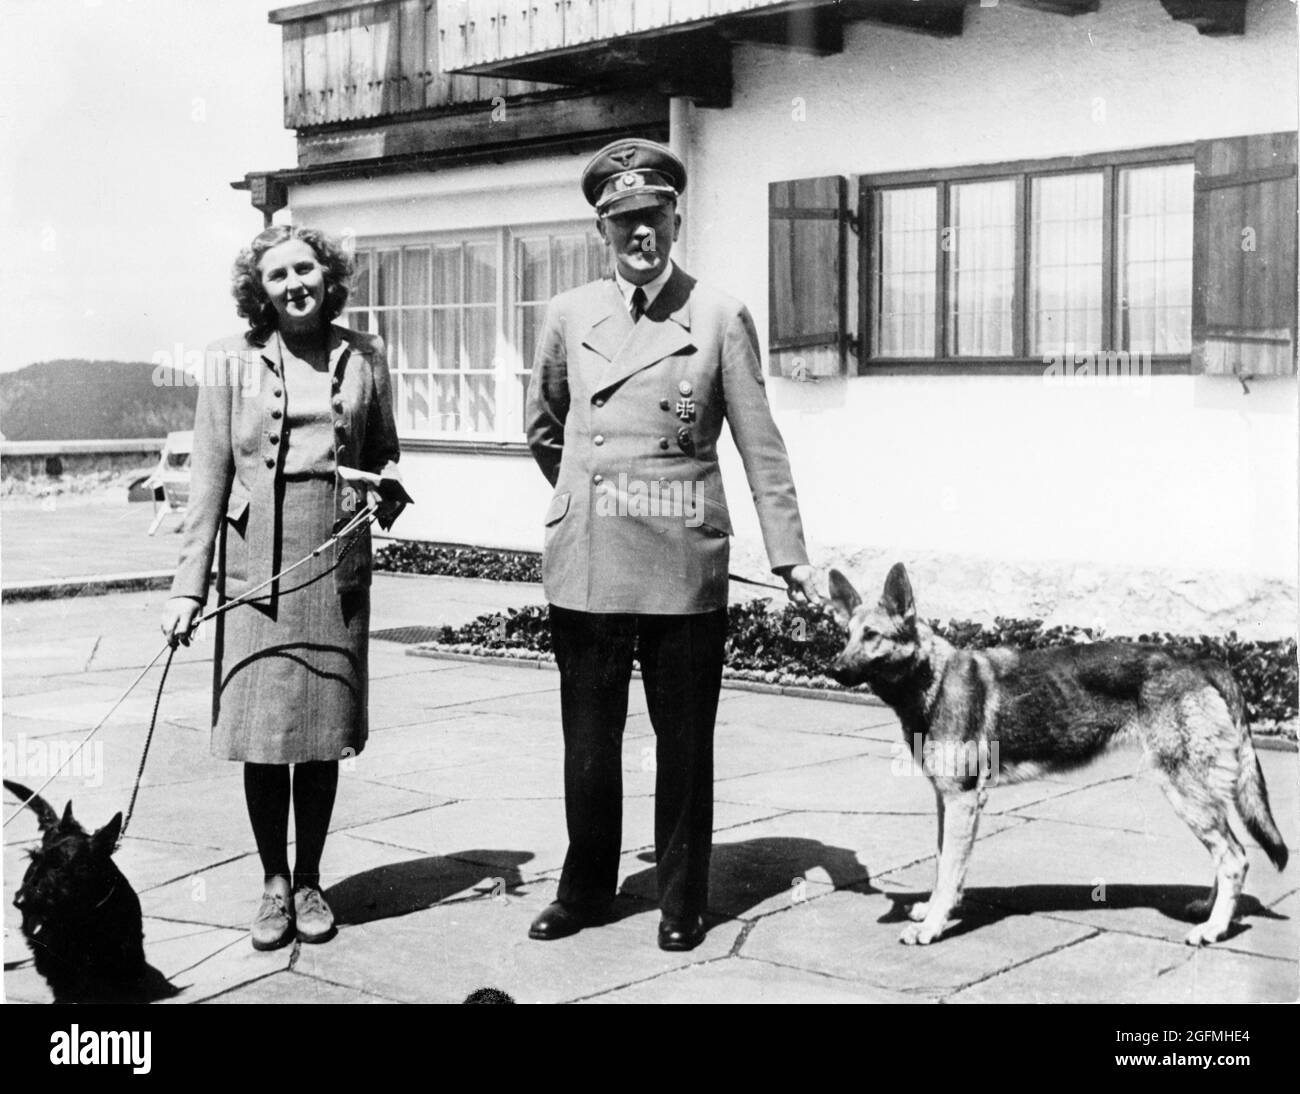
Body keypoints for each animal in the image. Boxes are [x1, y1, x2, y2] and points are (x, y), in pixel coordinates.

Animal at [826, 566, 1284, 940]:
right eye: (845, 635)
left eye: (872, 636)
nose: (833, 669)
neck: (930, 681)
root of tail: (1204, 660)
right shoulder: (947, 801)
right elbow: (944, 866)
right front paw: (934, 911)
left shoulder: (963, 801)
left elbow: (951, 868)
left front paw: (934, 926)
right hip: (1199, 797)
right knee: (1228, 853)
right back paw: (1208, 910)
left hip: (1184, 793)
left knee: (1235, 858)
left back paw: (1214, 930)